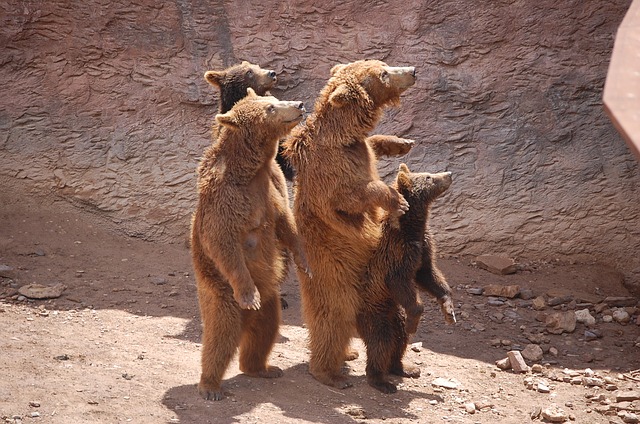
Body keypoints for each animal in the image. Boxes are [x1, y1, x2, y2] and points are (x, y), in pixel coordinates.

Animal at [190, 89, 308, 400]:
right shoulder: (225, 195)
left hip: (270, 301)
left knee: (265, 329)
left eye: (275, 99)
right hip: (219, 291)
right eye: (270, 108)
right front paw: (248, 294)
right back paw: (210, 385)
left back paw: (263, 368)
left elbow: (286, 223)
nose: (299, 104)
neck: (252, 169)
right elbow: (222, 240)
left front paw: (305, 262)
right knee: (221, 334)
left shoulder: (273, 185)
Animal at [282, 58, 418, 388]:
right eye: (384, 73)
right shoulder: (333, 171)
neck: (344, 138)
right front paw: (397, 199)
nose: (412, 71)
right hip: (335, 273)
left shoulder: (359, 148)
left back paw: (354, 355)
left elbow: (373, 143)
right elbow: (352, 196)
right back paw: (329, 373)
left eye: (384, 64)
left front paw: (401, 141)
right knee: (333, 319)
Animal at [356, 163, 456, 394]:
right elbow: (400, 281)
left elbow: (429, 274)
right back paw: (381, 380)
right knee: (381, 340)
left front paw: (449, 310)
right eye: (428, 177)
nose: (449, 174)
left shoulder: (423, 246)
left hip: (394, 311)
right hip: (373, 309)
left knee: (399, 337)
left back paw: (403, 367)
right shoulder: (396, 253)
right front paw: (416, 321)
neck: (411, 227)